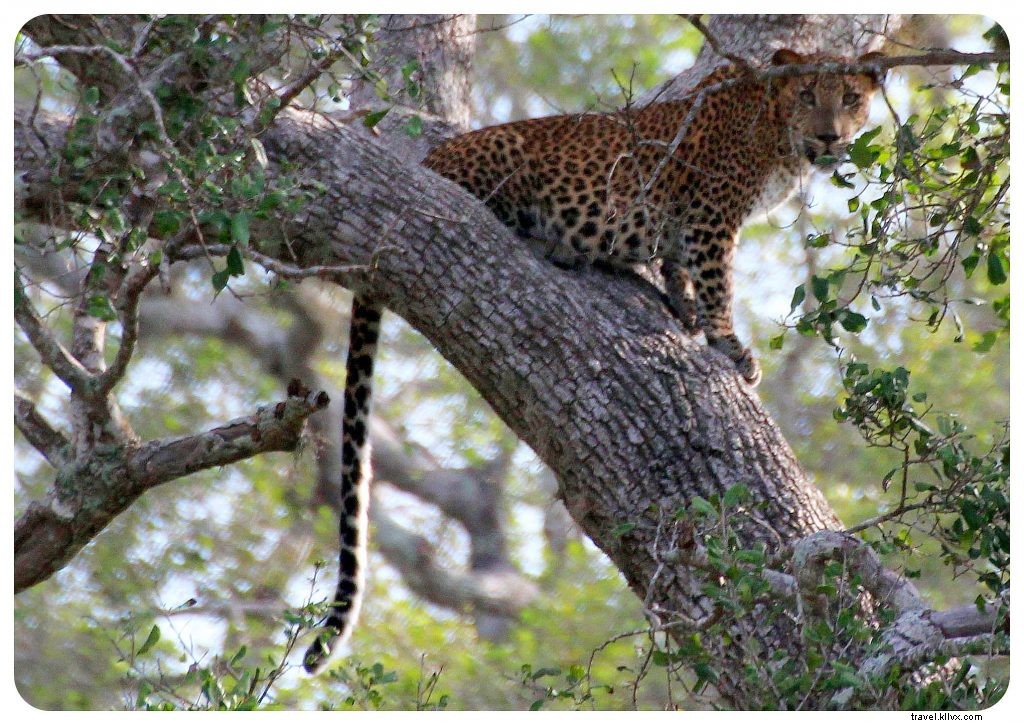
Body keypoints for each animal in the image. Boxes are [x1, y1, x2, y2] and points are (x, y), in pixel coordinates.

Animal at [302, 48, 884, 673]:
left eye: (850, 98)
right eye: (807, 95)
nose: (829, 136)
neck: (777, 133)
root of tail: (432, 157)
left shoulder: (688, 224)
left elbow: (679, 269)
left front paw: (684, 309)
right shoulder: (712, 214)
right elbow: (717, 283)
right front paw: (727, 343)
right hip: (504, 157)